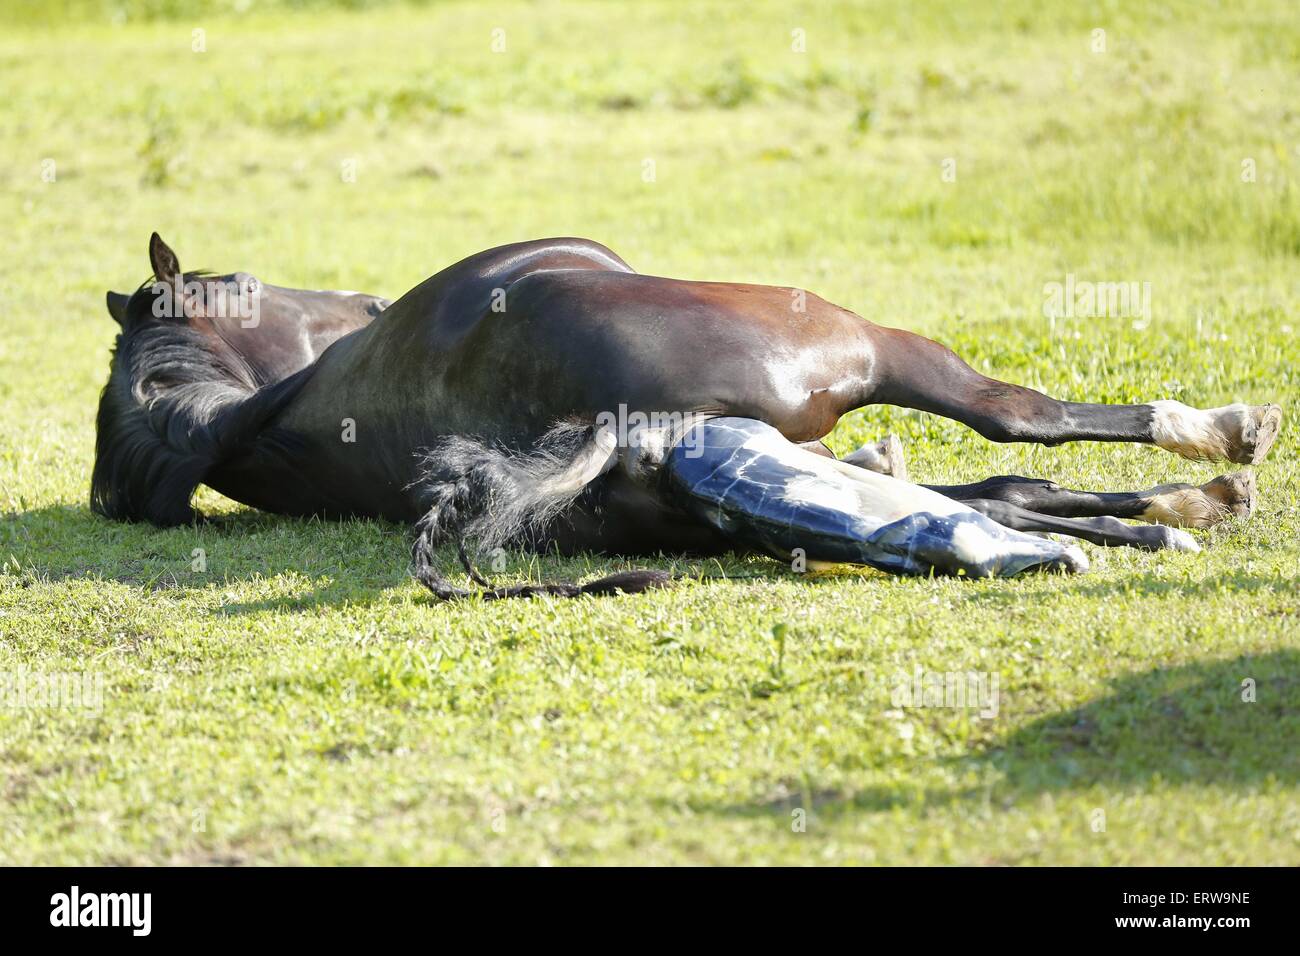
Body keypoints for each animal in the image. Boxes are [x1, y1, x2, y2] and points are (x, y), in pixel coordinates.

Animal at [94, 234, 1279, 598]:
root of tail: (624, 429)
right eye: (242, 281)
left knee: (996, 487)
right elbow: (1012, 453)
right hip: (875, 344)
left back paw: (1176, 509)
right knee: (1012, 422)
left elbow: (990, 495)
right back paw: (1216, 442)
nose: (359, 299)